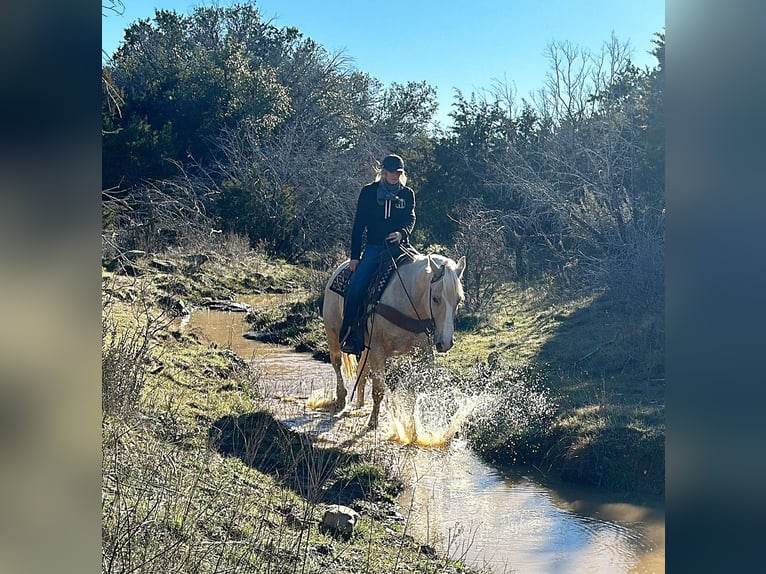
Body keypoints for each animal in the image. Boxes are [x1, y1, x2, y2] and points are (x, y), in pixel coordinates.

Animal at [320, 252, 464, 432]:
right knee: (337, 362)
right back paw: (341, 399)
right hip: (333, 334)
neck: (407, 300)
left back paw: (359, 404)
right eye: (436, 299)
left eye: (458, 300)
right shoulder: (377, 350)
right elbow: (379, 389)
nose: (445, 343)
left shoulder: (422, 352)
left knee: (362, 371)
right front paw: (373, 422)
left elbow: (415, 390)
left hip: (366, 349)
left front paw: (413, 428)